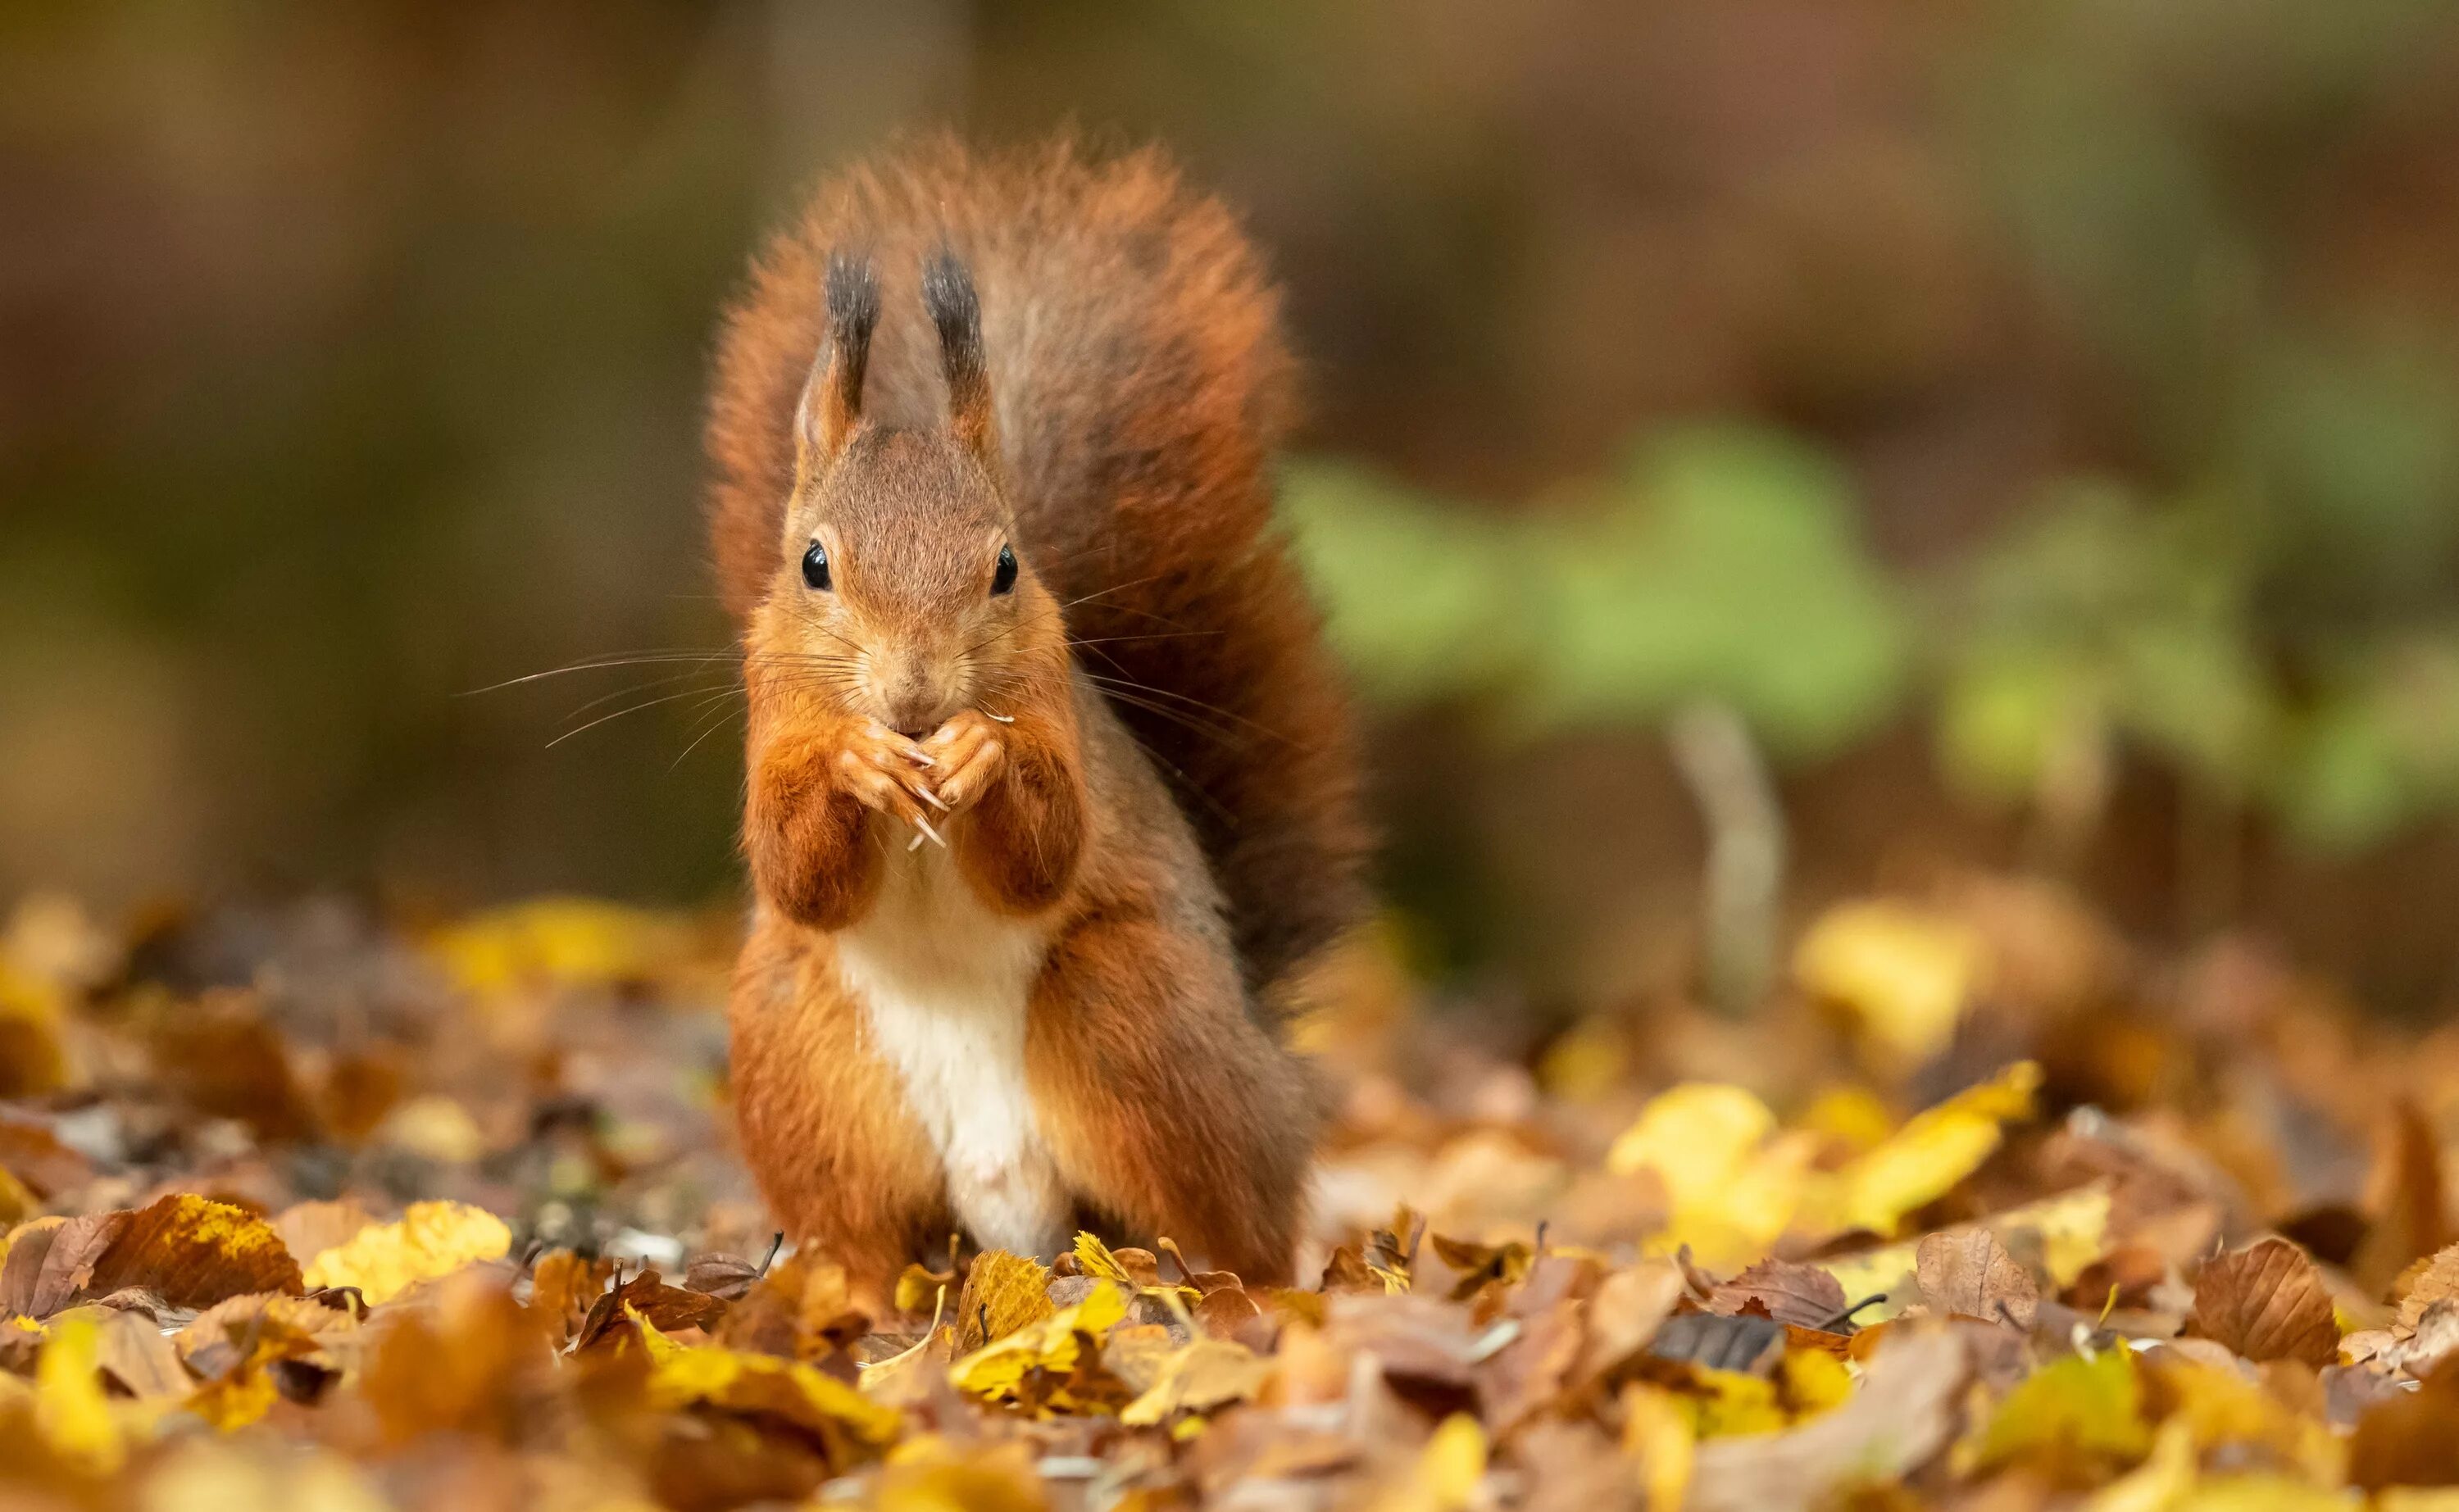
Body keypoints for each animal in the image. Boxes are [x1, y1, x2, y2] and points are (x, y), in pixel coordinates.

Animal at [703, 138, 1377, 1298]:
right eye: (813, 565)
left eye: (1008, 567)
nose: (916, 696)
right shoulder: (772, 718)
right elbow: (797, 870)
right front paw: (856, 760)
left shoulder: (1054, 706)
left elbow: (1047, 850)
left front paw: (980, 755)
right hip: (803, 1056)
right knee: (863, 1227)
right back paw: (852, 1292)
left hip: (1133, 1015)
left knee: (1238, 1230)